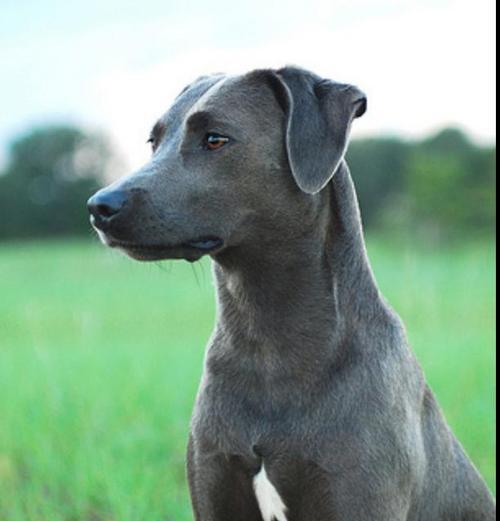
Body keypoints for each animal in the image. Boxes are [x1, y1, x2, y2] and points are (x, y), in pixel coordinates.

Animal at [88, 67, 494, 516]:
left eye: (215, 139)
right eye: (154, 141)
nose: (99, 206)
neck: (265, 340)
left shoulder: (357, 492)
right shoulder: (214, 483)